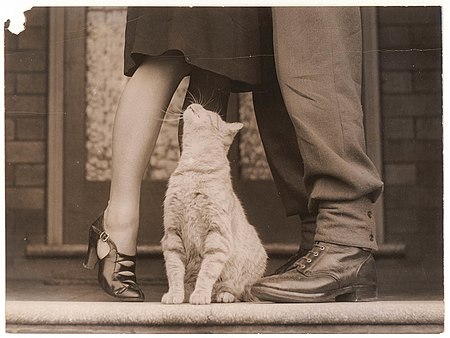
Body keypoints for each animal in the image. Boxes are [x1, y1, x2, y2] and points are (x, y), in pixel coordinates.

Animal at [162, 102, 268, 304]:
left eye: (210, 114)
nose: (195, 104)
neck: (192, 170)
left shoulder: (218, 234)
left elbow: (207, 271)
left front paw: (200, 294)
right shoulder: (172, 234)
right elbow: (174, 270)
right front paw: (175, 293)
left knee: (237, 290)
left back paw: (224, 295)